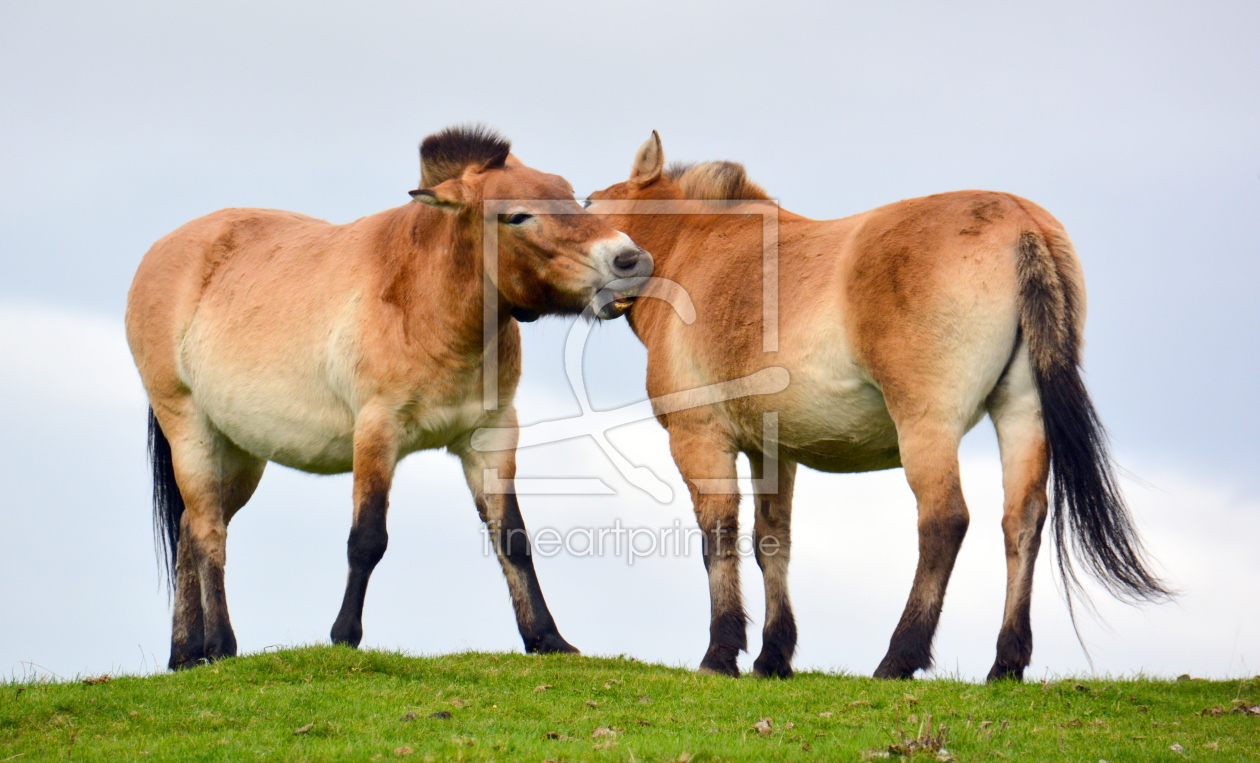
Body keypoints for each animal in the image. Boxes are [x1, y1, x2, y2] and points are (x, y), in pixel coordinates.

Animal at [130, 124, 650, 669]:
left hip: (241, 452)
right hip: (191, 430)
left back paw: (185, 655)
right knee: (209, 533)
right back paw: (220, 646)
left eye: (573, 196)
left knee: (190, 528)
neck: (428, 305)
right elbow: (367, 539)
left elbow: (513, 538)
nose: (630, 261)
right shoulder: (377, 432)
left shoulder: (491, 436)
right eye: (516, 215)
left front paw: (547, 638)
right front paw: (344, 635)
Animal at [589, 131, 1169, 679]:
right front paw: (773, 655)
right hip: (1022, 414)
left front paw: (722, 651)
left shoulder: (700, 438)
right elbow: (772, 541)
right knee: (1021, 520)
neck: (697, 248)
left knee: (944, 521)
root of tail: (1021, 223)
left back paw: (899, 656)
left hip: (926, 425)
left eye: (589, 204)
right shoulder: (771, 451)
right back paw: (1005, 662)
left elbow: (719, 535)